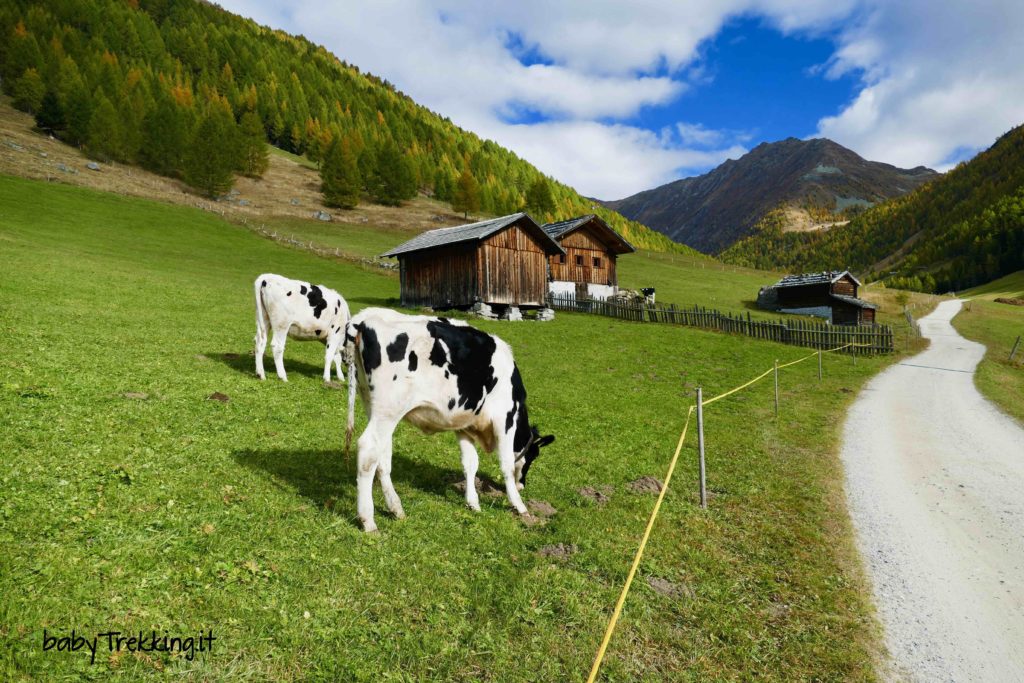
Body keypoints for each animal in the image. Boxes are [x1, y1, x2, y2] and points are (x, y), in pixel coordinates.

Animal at [342, 307, 552, 532]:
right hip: (389, 409)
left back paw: (396, 508)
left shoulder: (463, 425)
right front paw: (519, 505)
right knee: (368, 450)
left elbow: (470, 463)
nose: (523, 484)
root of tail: (363, 319)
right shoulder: (505, 419)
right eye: (533, 455)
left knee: (382, 456)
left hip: (374, 407)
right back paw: (368, 521)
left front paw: (473, 503)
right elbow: (507, 464)